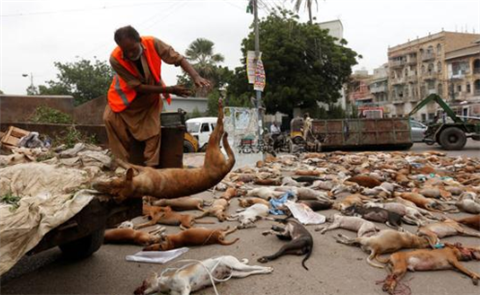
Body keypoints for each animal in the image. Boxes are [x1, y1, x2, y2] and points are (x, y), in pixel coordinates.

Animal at [92, 100, 234, 202]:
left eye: (113, 182)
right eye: (112, 192)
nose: (94, 185)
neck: (141, 187)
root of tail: (224, 170)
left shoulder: (145, 169)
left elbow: (128, 164)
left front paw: (117, 159)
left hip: (212, 148)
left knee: (219, 127)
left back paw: (221, 109)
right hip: (214, 150)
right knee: (225, 143)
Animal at [135, 256, 274, 295]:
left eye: (143, 283)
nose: (134, 292)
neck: (166, 283)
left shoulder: (185, 288)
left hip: (238, 266)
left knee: (255, 267)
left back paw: (267, 268)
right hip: (238, 274)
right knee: (252, 272)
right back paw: (265, 270)